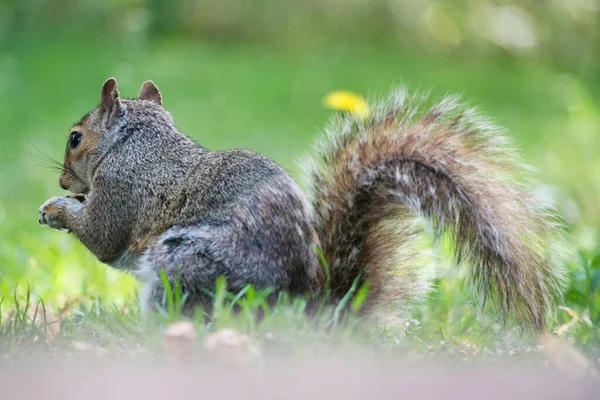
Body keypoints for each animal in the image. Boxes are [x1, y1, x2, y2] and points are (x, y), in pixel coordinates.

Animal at [38, 78, 568, 332]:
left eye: (75, 138)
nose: (64, 179)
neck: (136, 139)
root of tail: (307, 312)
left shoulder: (123, 189)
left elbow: (104, 238)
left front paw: (57, 210)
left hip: (186, 263)